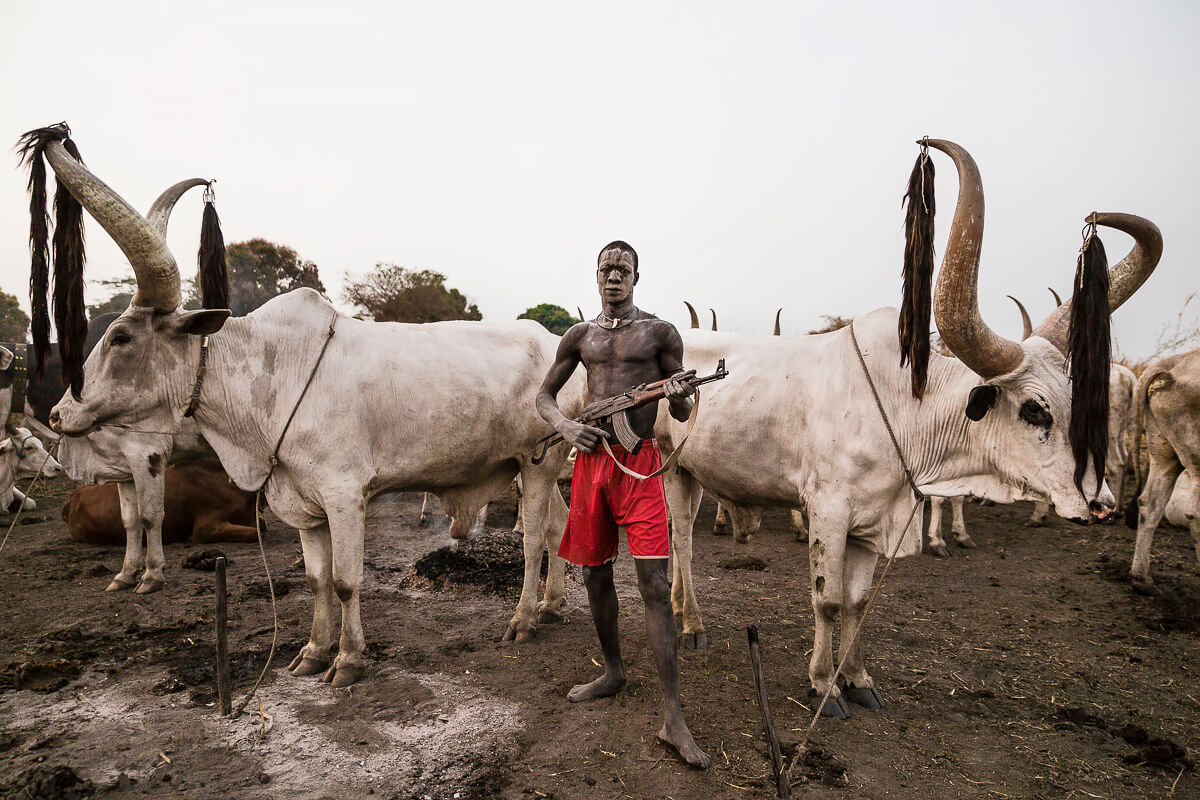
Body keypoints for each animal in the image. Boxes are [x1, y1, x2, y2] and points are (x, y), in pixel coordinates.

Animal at [1123, 347, 1200, 592]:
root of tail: (1173, 362)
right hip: (1197, 459)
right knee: (1195, 513)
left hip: (1163, 454)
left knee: (1149, 504)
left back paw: (1141, 579)